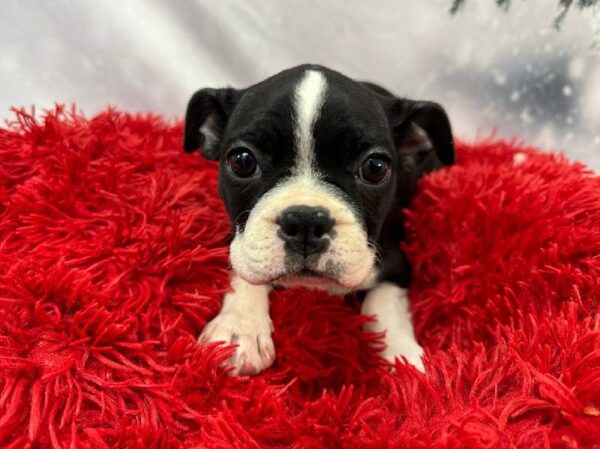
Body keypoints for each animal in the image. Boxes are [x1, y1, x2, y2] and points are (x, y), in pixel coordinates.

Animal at [184, 63, 454, 374]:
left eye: (375, 167)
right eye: (242, 161)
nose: (305, 222)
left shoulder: (397, 262)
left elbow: (382, 302)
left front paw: (401, 354)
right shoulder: (238, 239)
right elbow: (243, 271)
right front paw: (239, 328)